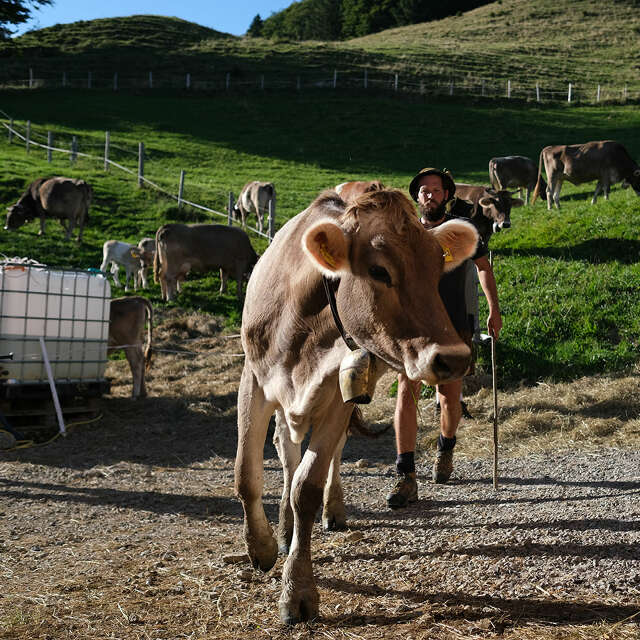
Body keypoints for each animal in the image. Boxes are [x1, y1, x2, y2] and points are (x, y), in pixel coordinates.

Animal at [235, 186, 480, 624]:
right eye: (380, 271)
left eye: (438, 269)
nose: (453, 358)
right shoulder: (255, 380)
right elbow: (248, 476)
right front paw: (261, 548)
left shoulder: (337, 395)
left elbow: (308, 487)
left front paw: (298, 589)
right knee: (285, 448)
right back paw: (282, 527)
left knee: (331, 454)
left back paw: (331, 510)